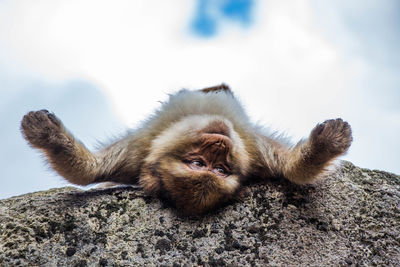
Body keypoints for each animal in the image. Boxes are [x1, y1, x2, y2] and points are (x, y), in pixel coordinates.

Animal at [20, 85, 352, 216]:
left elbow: (294, 169)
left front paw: (326, 144)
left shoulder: (257, 156)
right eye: (198, 164)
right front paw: (48, 136)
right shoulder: (135, 153)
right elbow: (87, 171)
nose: (221, 144)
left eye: (220, 169)